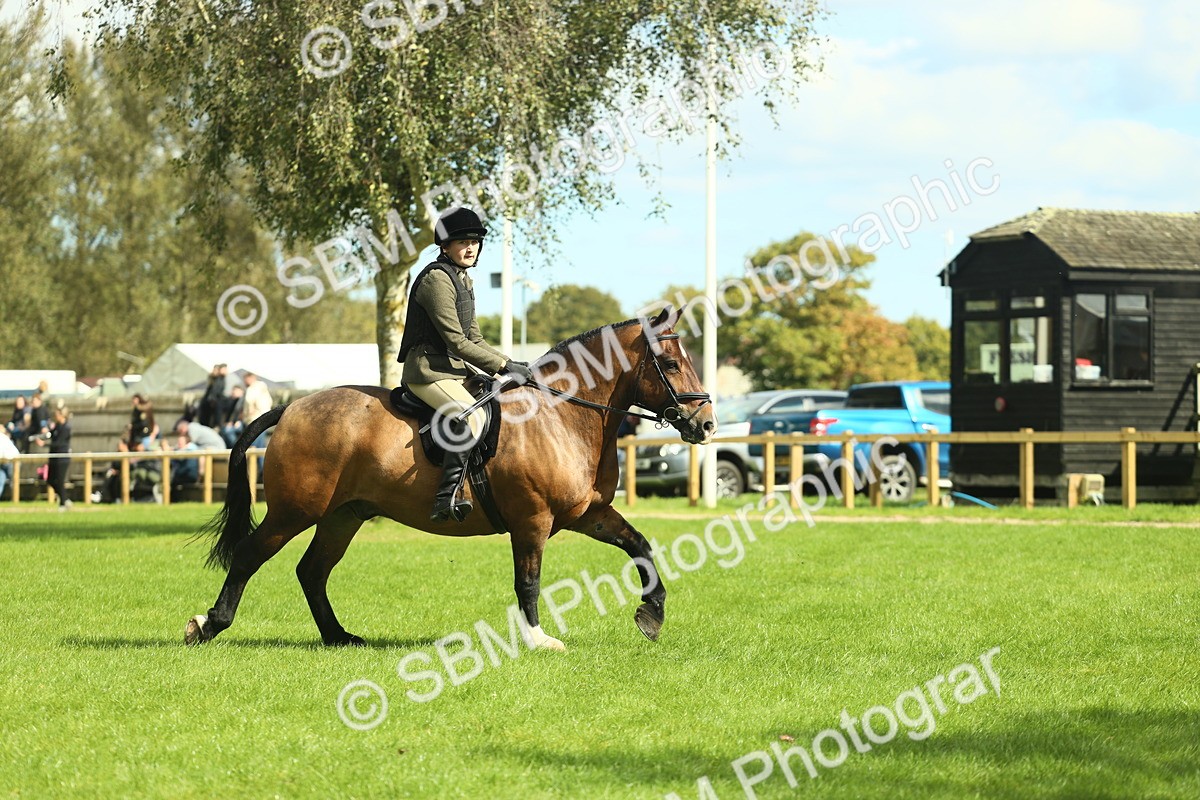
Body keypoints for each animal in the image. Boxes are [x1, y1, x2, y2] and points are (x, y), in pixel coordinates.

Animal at [184, 307, 717, 650]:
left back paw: (339, 637)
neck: (561, 416)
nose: (707, 424)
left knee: (312, 570)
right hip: (295, 510)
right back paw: (208, 624)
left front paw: (651, 616)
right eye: (671, 364)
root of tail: (292, 407)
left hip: (343, 516)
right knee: (251, 555)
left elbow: (641, 546)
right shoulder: (532, 520)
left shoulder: (588, 513)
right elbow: (529, 581)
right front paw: (538, 640)